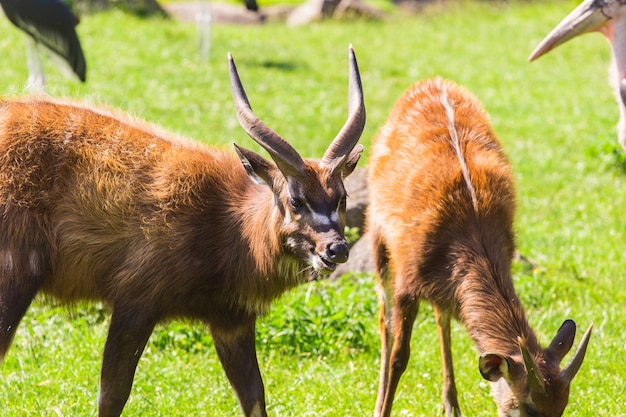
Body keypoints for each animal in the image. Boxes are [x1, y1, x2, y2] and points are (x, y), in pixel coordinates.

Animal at [0, 46, 366, 416]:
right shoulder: (136, 300)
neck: (227, 223)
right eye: (296, 199)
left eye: (342, 197)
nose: (336, 249)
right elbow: (112, 394)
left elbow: (254, 396)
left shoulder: (232, 322)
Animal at [366, 78, 588, 416]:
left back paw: (451, 404)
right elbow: (399, 357)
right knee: (384, 320)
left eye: (562, 407)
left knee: (441, 318)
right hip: (378, 237)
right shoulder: (407, 278)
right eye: (529, 407)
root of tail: (430, 81)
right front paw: (382, 409)